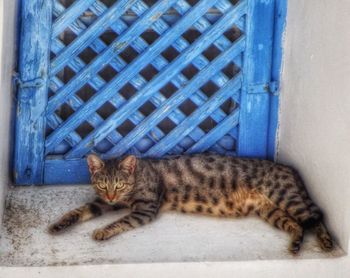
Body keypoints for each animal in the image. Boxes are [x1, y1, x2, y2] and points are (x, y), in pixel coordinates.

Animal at [47, 154, 334, 254]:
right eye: (103, 185)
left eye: (119, 185)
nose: (111, 196)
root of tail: (289, 167)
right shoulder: (104, 204)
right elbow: (81, 210)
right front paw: (59, 225)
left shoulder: (145, 209)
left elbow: (121, 221)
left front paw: (103, 231)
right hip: (271, 210)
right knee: (297, 224)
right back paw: (295, 243)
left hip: (285, 196)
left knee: (315, 217)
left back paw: (325, 242)